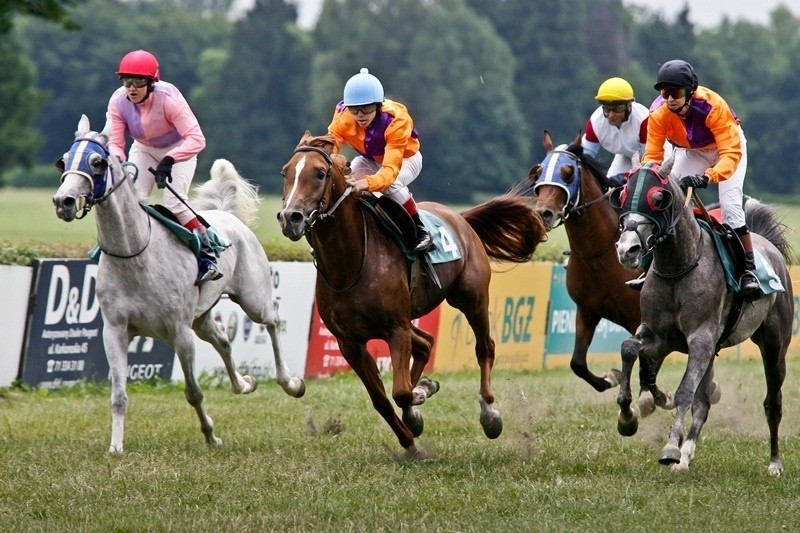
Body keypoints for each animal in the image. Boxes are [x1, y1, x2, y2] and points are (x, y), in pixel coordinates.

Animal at [51, 114, 304, 450]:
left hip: (252, 299)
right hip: (202, 316)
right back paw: (244, 383)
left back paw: (290, 382)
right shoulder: (115, 330)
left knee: (272, 319)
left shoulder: (179, 332)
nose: (63, 201)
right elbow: (118, 396)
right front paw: (116, 446)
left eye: (96, 162)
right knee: (223, 339)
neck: (134, 255)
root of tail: (227, 215)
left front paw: (210, 435)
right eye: (64, 160)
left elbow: (193, 392)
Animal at [278, 131, 548, 456]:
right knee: (426, 343)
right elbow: (382, 399)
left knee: (485, 348)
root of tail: (460, 218)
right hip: (409, 318)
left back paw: (489, 413)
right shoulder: (350, 342)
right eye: (286, 172)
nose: (289, 217)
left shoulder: (396, 328)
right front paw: (410, 439)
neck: (350, 263)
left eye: (319, 173)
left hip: (471, 299)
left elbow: (401, 391)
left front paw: (420, 396)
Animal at [528, 131, 672, 414]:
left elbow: (645, 361)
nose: (543, 213)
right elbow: (577, 363)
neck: (600, 252)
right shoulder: (586, 310)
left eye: (567, 173)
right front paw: (610, 378)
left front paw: (649, 397)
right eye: (538, 172)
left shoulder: (639, 318)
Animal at [612, 161, 792, 474]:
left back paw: (774, 463)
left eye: (657, 198)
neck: (678, 266)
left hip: (774, 344)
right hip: (713, 351)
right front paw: (628, 417)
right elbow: (629, 348)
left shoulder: (700, 339)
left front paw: (670, 447)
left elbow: (685, 391)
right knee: (703, 403)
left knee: (773, 402)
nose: (626, 250)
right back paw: (685, 457)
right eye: (622, 195)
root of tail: (768, 245)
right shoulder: (661, 336)